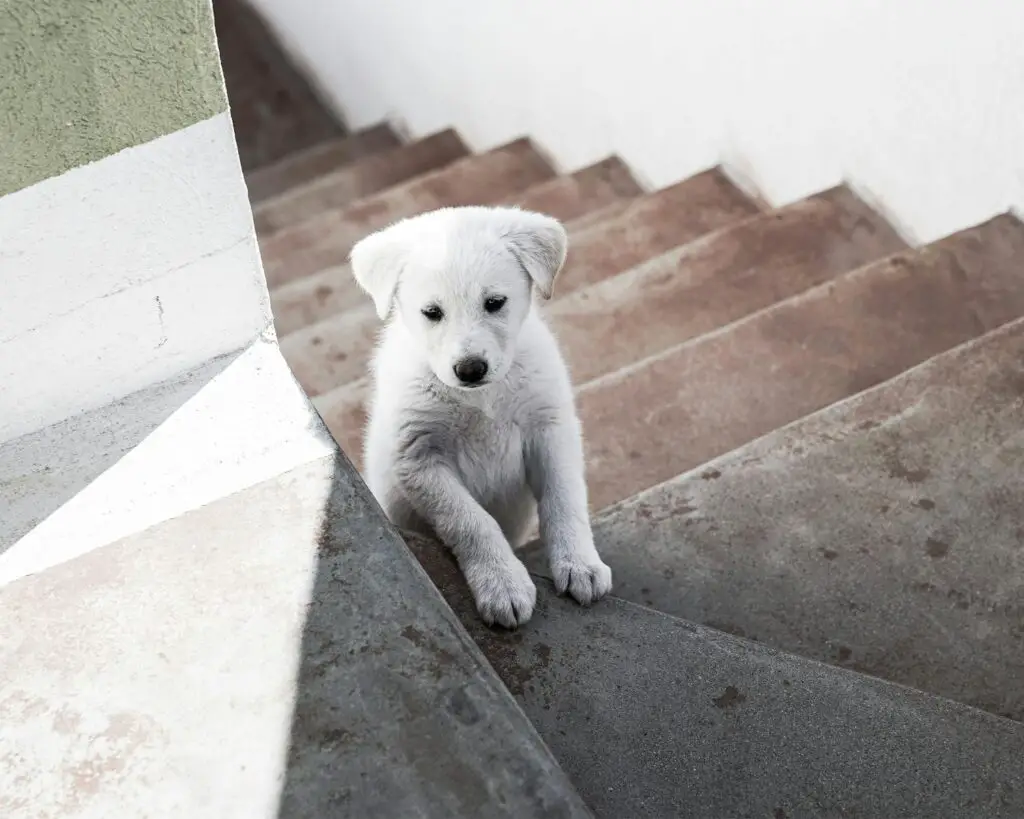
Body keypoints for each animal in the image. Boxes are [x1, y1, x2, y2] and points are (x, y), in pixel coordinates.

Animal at [348, 204, 610, 626]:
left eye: (495, 302)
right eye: (432, 312)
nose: (470, 369)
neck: (481, 397)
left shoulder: (550, 427)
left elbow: (564, 499)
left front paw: (579, 563)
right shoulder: (418, 458)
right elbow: (470, 521)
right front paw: (502, 584)